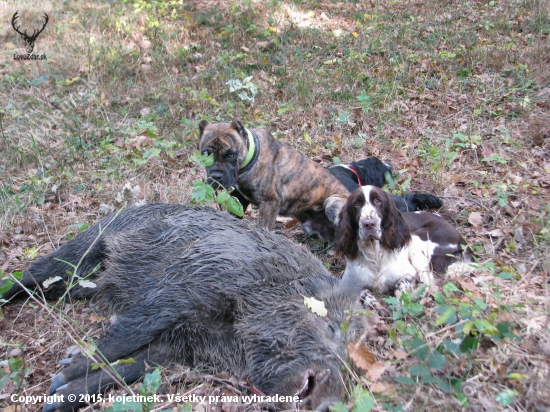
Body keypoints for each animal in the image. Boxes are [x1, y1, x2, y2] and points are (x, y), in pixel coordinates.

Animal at [198, 119, 348, 235]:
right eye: (206, 153)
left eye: (230, 154)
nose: (216, 176)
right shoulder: (238, 199)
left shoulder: (269, 203)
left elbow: (263, 228)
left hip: (332, 203)